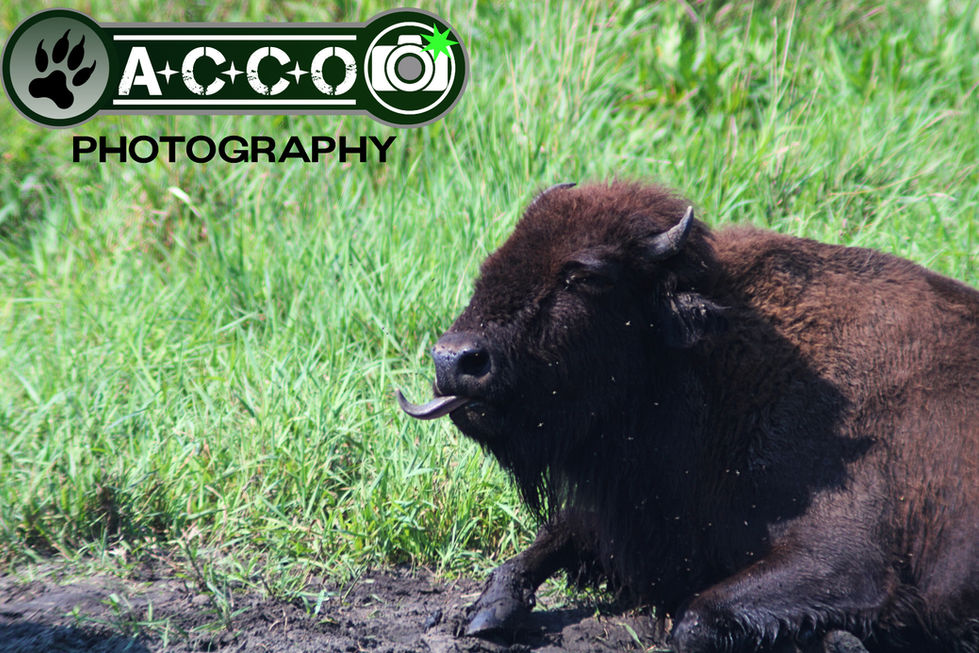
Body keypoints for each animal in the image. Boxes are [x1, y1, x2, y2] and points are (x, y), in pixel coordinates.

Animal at [398, 182, 979, 652]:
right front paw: (487, 613)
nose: (454, 360)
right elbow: (554, 538)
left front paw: (839, 638)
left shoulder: (845, 561)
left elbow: (695, 620)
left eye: (584, 275)